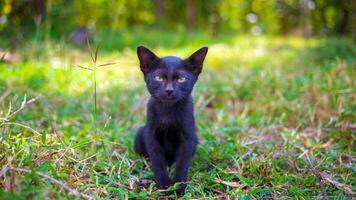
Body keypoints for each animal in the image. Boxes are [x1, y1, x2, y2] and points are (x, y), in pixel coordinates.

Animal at [134, 45, 207, 195]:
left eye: (181, 79)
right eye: (158, 78)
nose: (169, 90)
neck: (168, 112)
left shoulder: (188, 137)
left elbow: (183, 163)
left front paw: (179, 187)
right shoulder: (151, 135)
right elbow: (157, 160)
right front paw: (163, 184)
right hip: (139, 135)